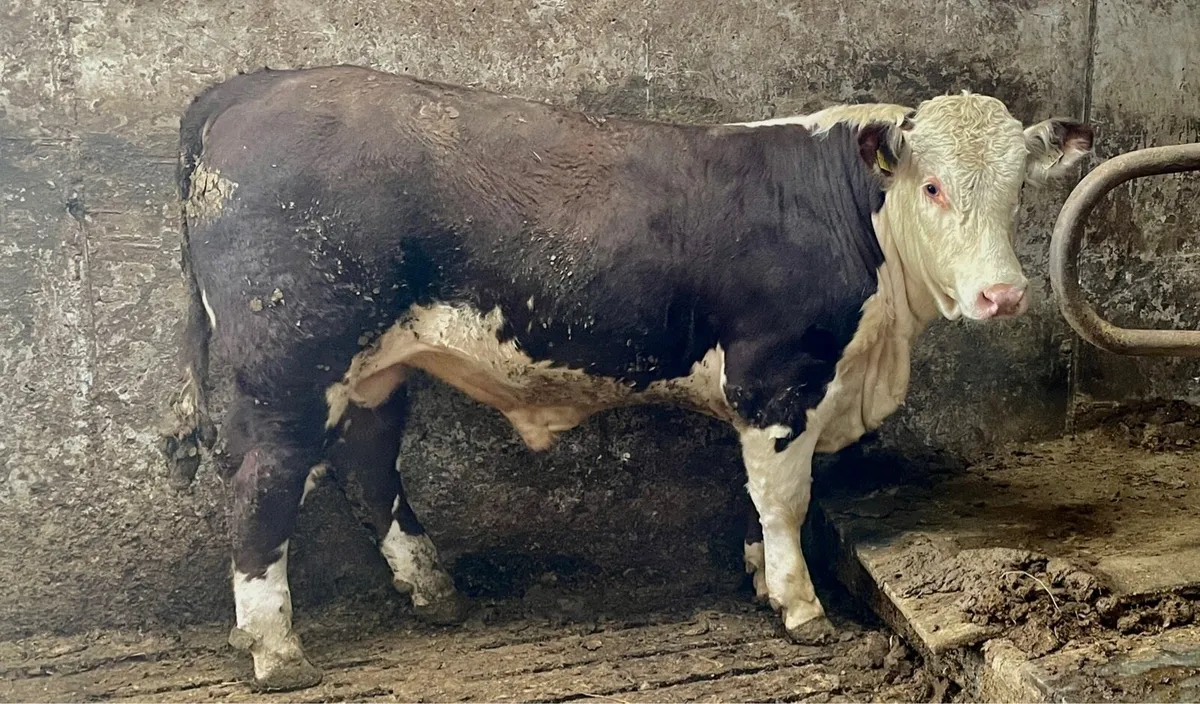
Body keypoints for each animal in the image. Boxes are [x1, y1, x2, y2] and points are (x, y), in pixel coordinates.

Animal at [162, 65, 1092, 691]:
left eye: (1016, 192)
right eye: (931, 186)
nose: (1003, 294)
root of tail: (245, 89)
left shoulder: (773, 395)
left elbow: (756, 495)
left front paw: (763, 579)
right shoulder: (779, 376)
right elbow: (786, 499)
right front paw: (801, 608)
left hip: (375, 368)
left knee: (366, 467)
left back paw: (433, 590)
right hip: (289, 361)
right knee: (266, 486)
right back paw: (276, 648)